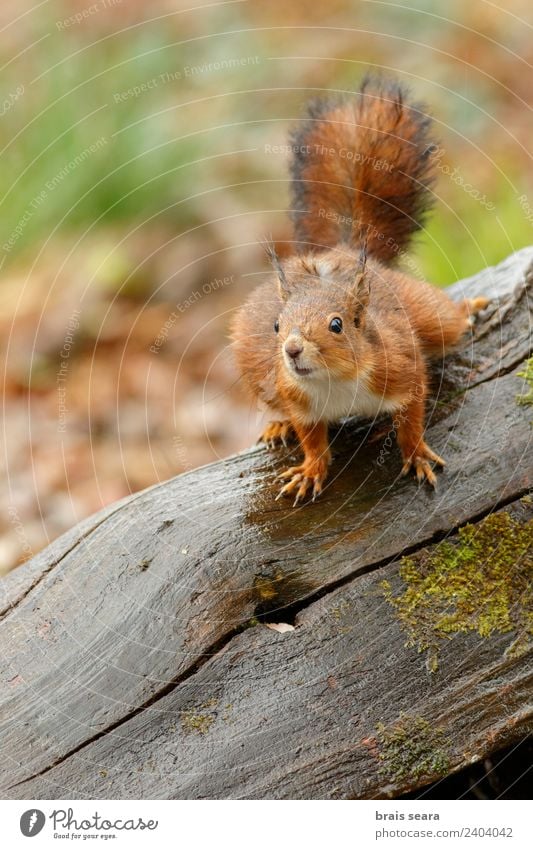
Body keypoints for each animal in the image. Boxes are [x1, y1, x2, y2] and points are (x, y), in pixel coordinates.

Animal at [231, 74, 488, 504]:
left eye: (337, 325)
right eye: (276, 326)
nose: (292, 350)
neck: (333, 382)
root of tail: (344, 251)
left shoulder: (400, 366)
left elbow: (412, 415)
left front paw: (415, 453)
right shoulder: (298, 398)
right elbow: (311, 438)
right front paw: (309, 469)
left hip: (427, 314)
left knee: (447, 320)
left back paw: (471, 305)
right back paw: (277, 426)